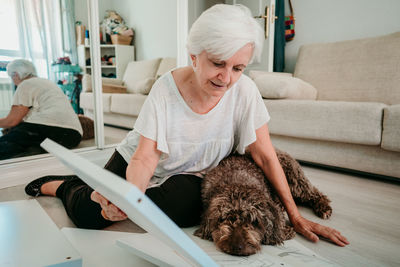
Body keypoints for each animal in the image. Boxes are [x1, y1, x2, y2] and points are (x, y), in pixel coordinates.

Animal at [194, 150, 332, 256]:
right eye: (224, 220)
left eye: (254, 222)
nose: (237, 247)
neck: (237, 183)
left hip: (294, 179)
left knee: (313, 193)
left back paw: (323, 207)